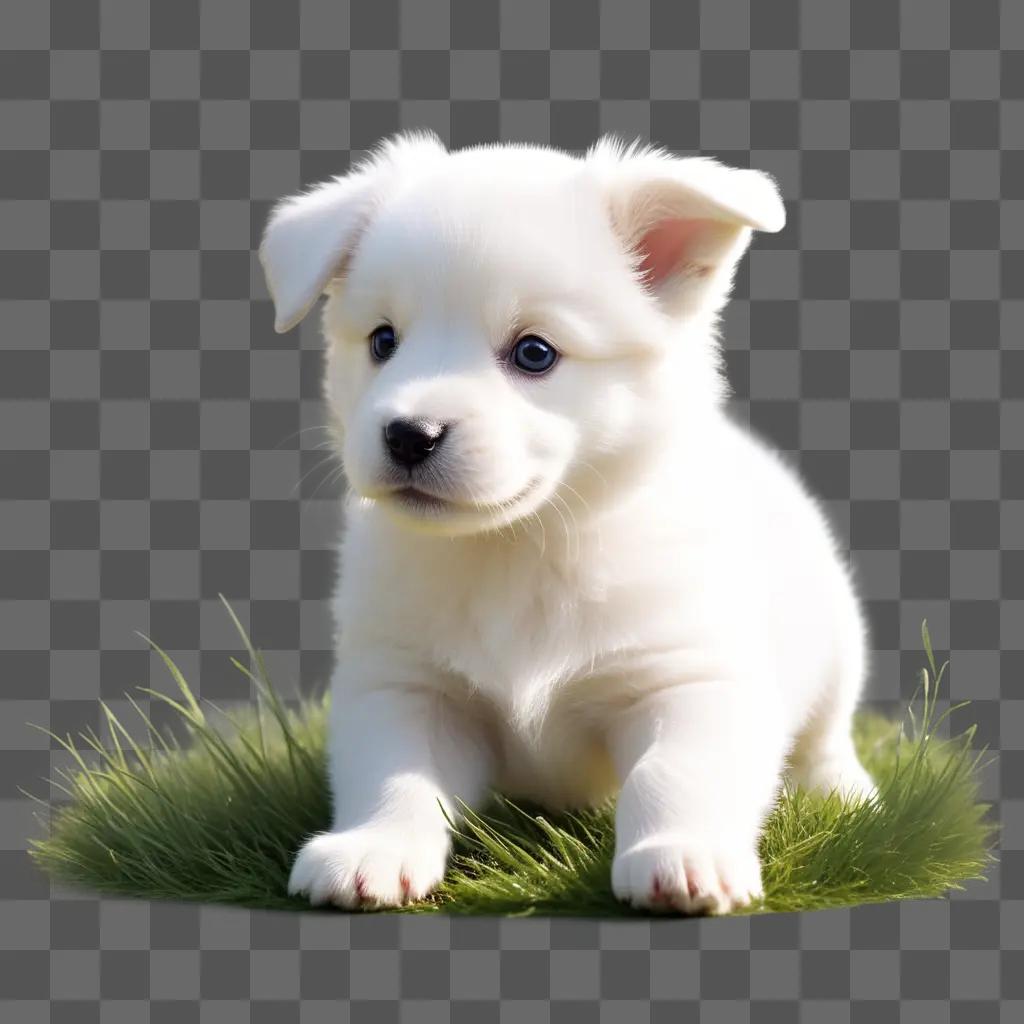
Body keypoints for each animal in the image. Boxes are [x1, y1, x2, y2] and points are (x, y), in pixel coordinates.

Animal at [260, 134, 876, 913]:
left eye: (535, 352)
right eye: (382, 341)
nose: (408, 435)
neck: (520, 548)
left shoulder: (688, 679)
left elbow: (674, 773)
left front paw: (683, 854)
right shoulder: (406, 687)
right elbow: (393, 779)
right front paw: (373, 849)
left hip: (837, 651)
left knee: (826, 737)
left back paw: (842, 792)